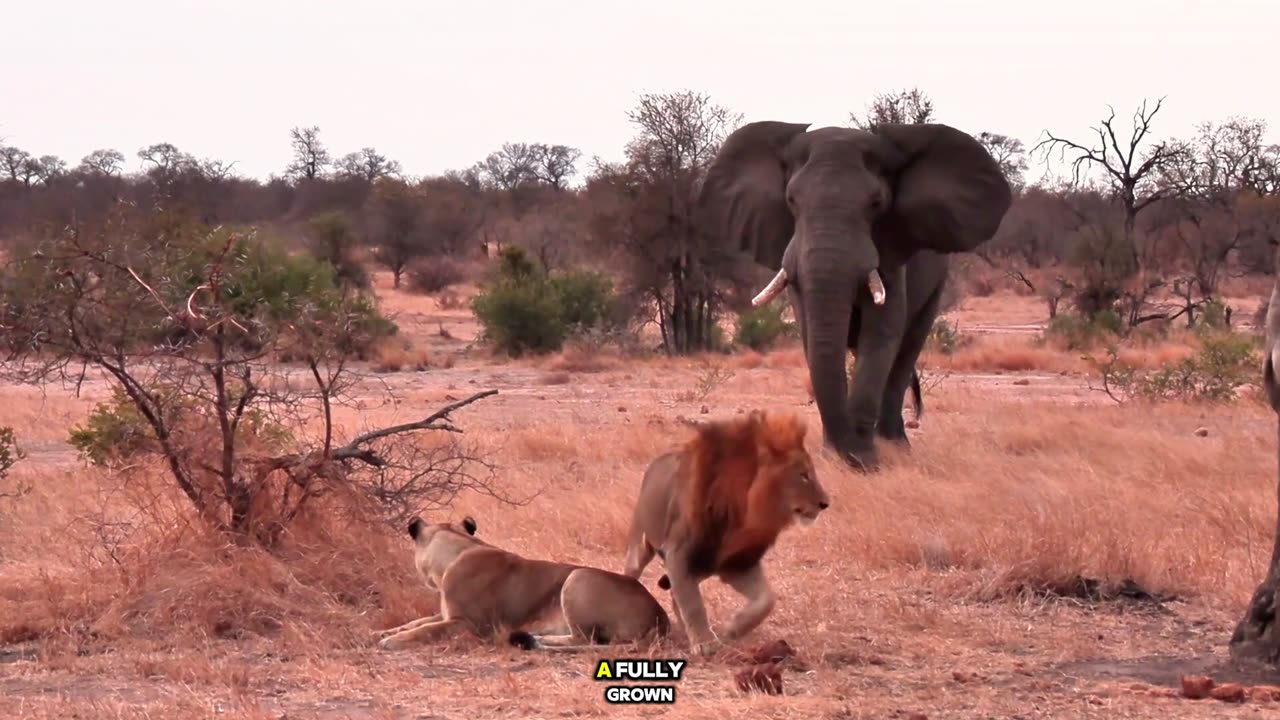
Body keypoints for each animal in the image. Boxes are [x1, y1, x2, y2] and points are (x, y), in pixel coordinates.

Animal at [373, 509, 670, 650]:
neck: (457, 549)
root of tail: (661, 618)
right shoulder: (447, 614)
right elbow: (418, 620)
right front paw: (383, 632)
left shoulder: (469, 624)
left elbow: (426, 629)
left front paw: (392, 641)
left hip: (577, 577)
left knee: (586, 640)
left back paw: (540, 639)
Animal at [619, 407, 829, 653]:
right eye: (804, 475)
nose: (825, 503)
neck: (746, 512)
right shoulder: (679, 554)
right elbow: (694, 604)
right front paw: (704, 643)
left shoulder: (736, 563)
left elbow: (767, 600)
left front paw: (733, 629)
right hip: (642, 546)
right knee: (633, 574)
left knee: (674, 593)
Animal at [701, 121, 1008, 471]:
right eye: (791, 200)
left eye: (876, 203)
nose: (843, 453)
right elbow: (812, 334)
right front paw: (836, 455)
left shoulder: (891, 255)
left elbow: (881, 333)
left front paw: (864, 461)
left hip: (939, 280)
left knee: (907, 350)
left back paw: (895, 445)